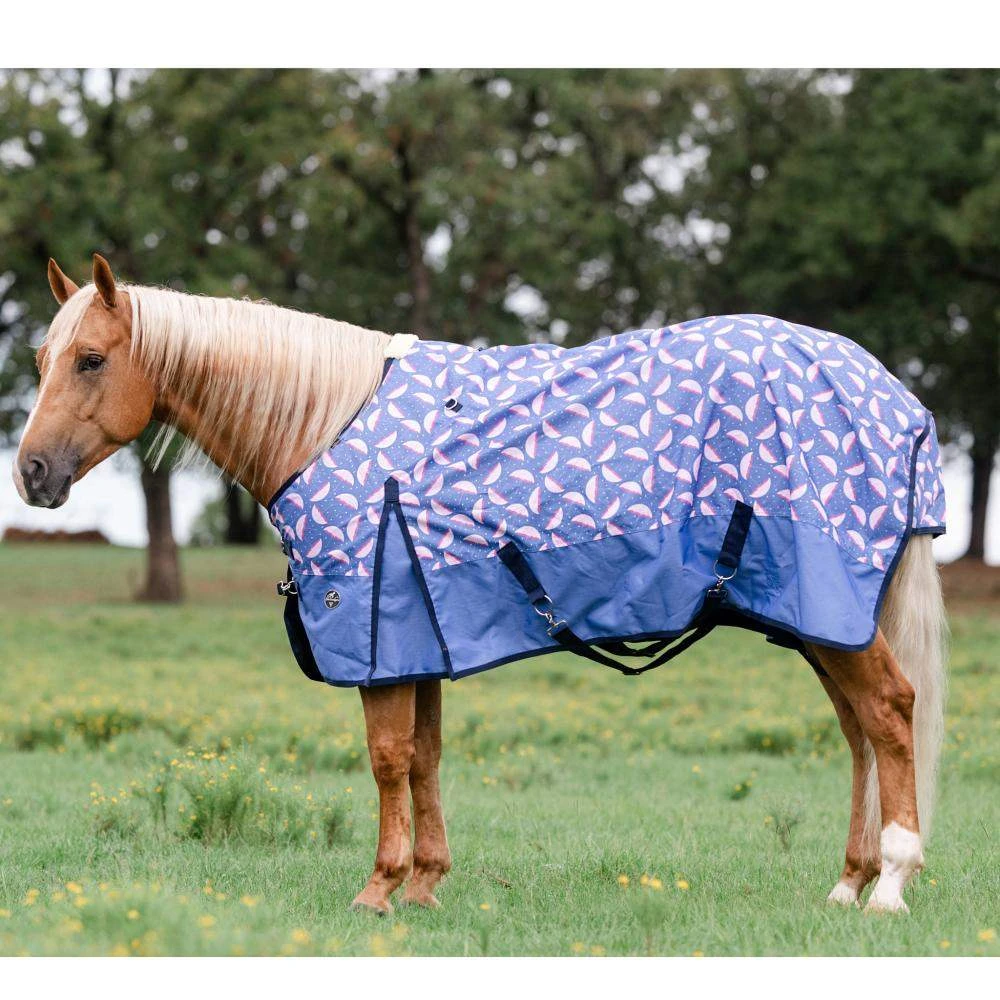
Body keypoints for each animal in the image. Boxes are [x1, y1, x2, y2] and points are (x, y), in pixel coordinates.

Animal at [14, 254, 947, 915]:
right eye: (42, 356)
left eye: (90, 359)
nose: (31, 474)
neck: (325, 423)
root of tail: (892, 395)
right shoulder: (421, 629)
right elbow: (425, 756)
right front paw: (427, 884)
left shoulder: (380, 632)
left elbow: (387, 759)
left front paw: (379, 888)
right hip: (817, 618)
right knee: (861, 732)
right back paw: (849, 881)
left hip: (829, 609)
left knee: (890, 713)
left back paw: (891, 885)